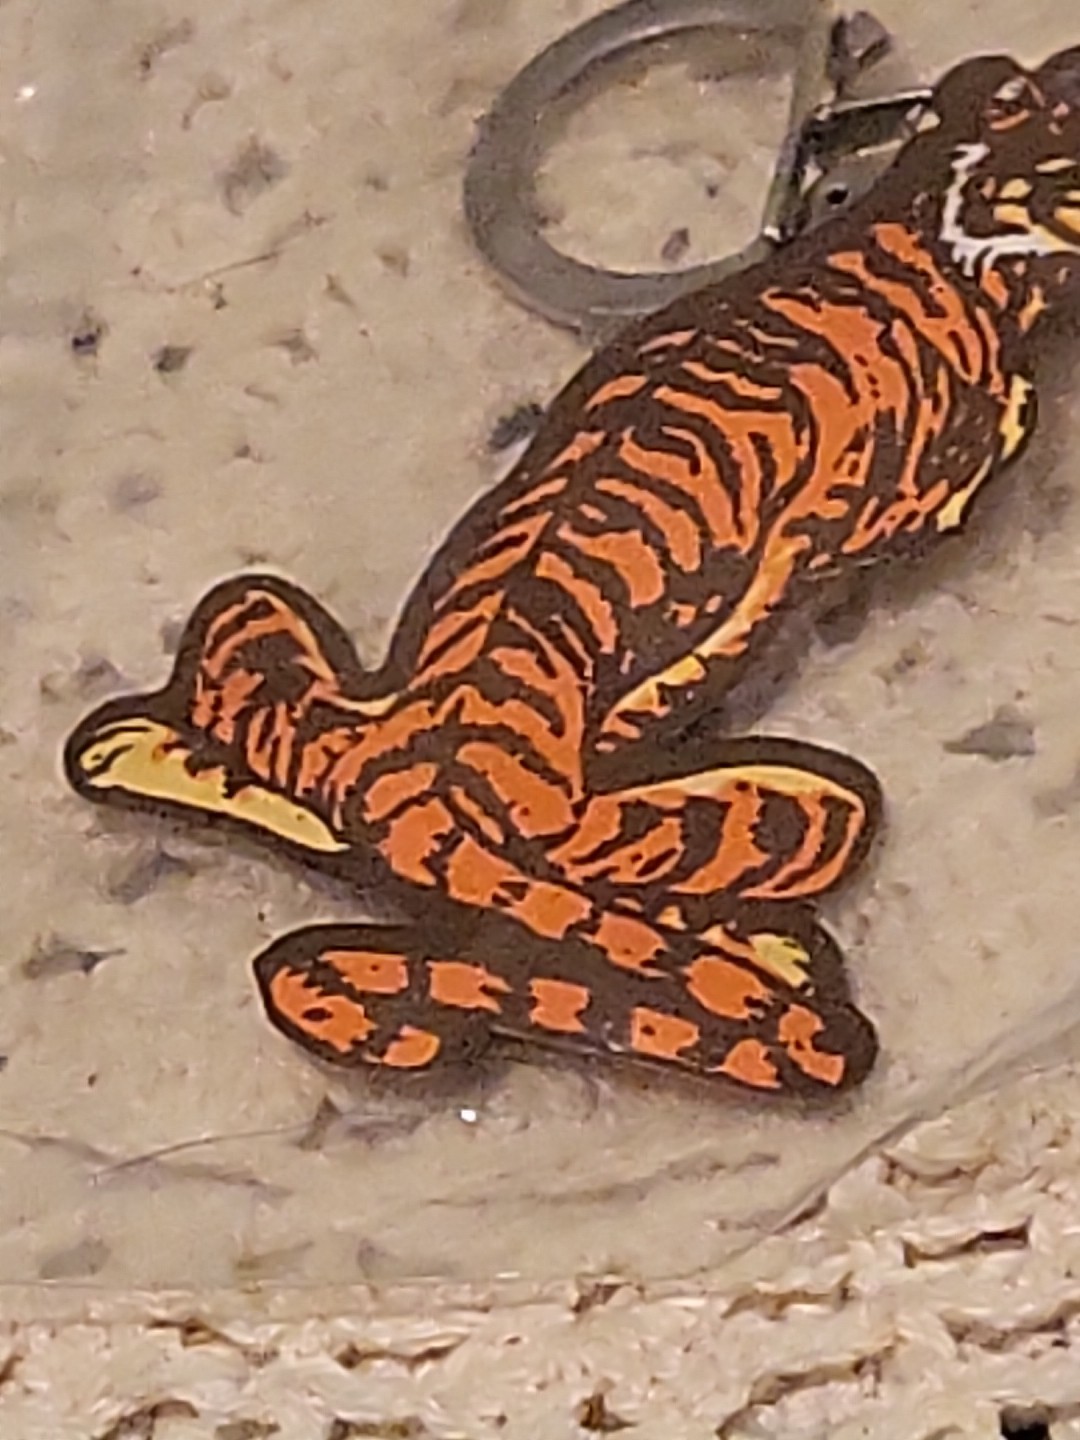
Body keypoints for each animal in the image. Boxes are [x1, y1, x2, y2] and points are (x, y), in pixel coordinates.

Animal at [65, 44, 1080, 1099]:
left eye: (1012, 78)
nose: (1061, 61)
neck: (935, 212)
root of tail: (413, 778)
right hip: (682, 819)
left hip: (284, 666)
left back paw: (147, 748)